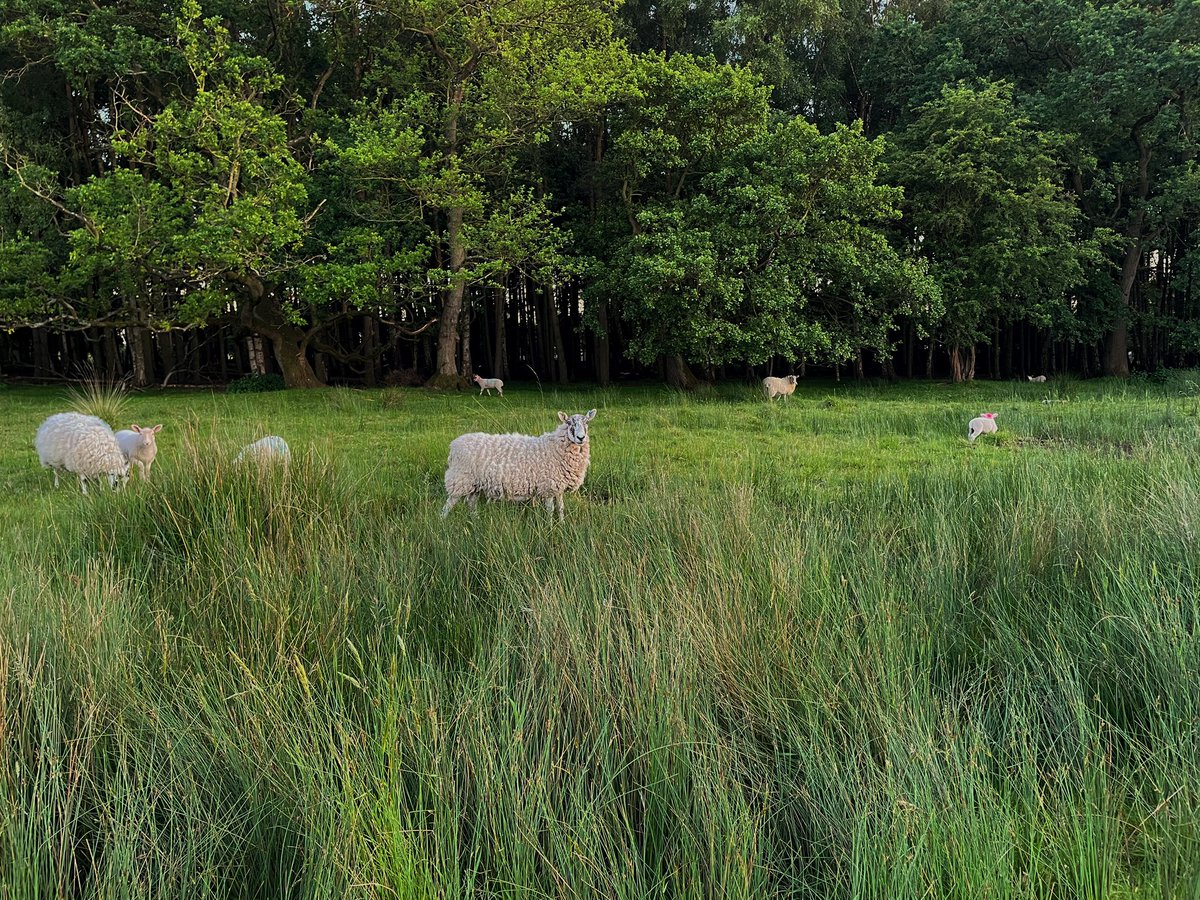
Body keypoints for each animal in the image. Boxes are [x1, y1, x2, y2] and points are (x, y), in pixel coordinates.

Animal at [442, 409, 596, 521]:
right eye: (570, 424)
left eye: (587, 423)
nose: (581, 438)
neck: (555, 447)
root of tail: (453, 446)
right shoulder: (548, 487)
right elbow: (550, 510)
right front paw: (551, 526)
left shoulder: (558, 487)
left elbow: (561, 508)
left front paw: (562, 525)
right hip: (459, 479)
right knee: (449, 504)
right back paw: (442, 521)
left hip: (475, 484)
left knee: (471, 503)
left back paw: (475, 521)